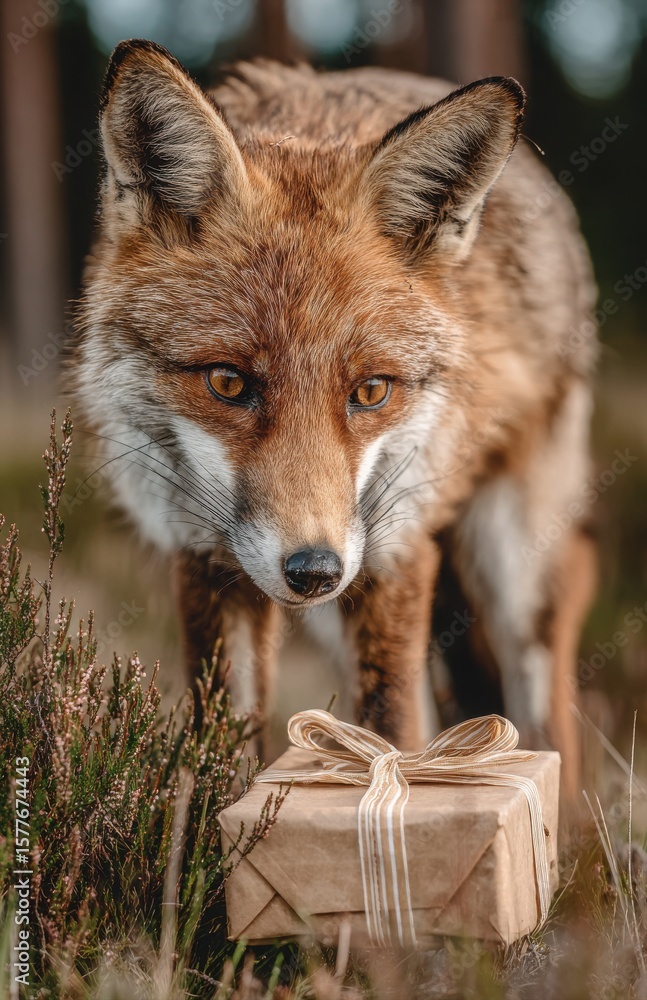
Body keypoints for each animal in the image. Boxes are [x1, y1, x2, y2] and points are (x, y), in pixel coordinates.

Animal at [68, 39, 598, 797]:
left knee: (542, 694)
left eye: (371, 391)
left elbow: (392, 727)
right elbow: (218, 759)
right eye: (228, 383)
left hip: (512, 568)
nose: (312, 571)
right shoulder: (205, 559)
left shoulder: (395, 550)